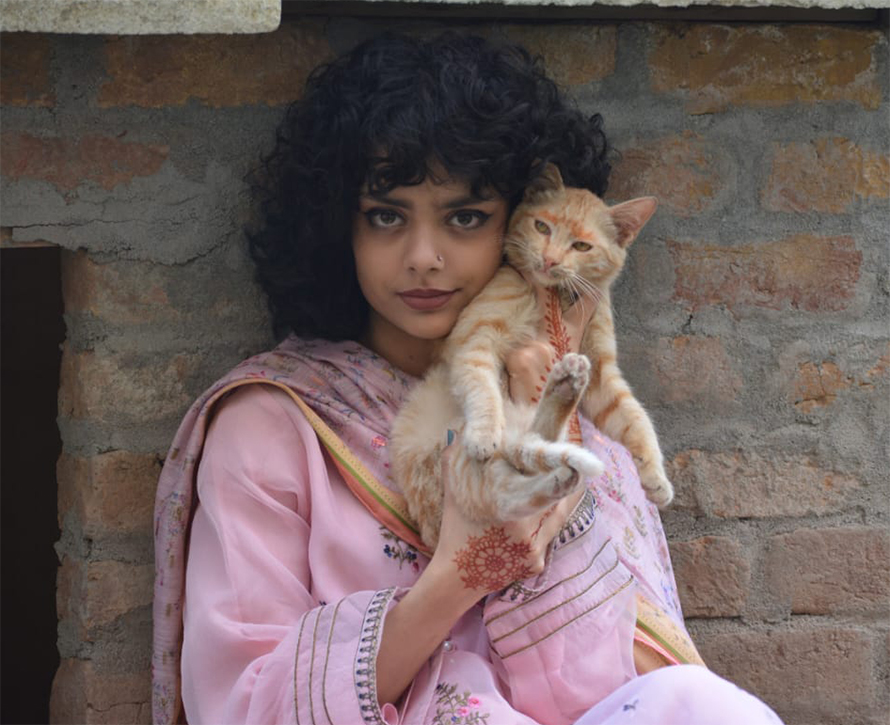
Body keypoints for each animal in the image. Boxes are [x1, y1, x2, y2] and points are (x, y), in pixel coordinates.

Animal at [392, 164, 668, 548]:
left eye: (581, 246)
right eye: (542, 227)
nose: (550, 259)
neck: (555, 296)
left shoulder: (602, 370)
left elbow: (632, 416)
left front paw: (656, 475)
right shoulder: (472, 338)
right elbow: (480, 384)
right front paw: (484, 431)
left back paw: (567, 386)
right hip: (456, 467)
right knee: (511, 493)